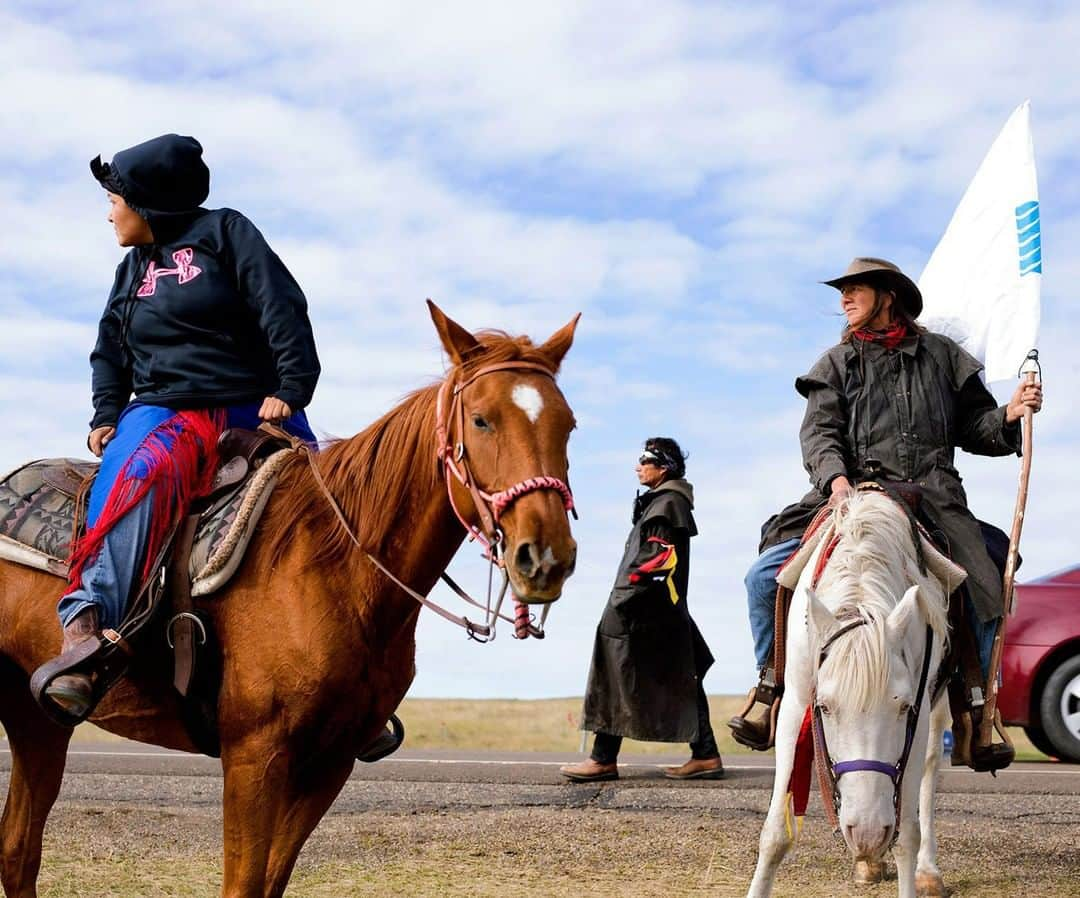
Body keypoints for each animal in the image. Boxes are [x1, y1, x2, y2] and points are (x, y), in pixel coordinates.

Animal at [0, 304, 583, 898]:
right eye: (482, 420)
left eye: (568, 425)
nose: (545, 556)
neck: (340, 573)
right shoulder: (254, 755)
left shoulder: (331, 762)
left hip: (37, 719)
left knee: (19, 850)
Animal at [747, 492, 967, 898]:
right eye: (824, 707)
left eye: (903, 708)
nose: (866, 832)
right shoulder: (795, 706)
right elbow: (775, 833)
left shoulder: (919, 714)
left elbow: (906, 835)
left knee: (929, 771)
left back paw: (925, 869)